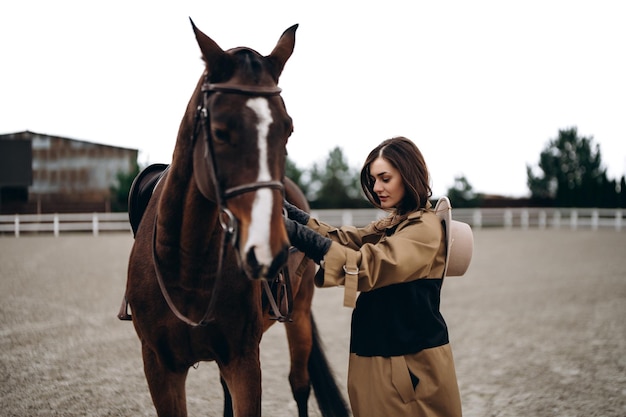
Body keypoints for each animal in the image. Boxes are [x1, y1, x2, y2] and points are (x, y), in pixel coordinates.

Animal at [120, 20, 346, 416]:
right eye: (221, 131)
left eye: (287, 129)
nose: (269, 250)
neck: (187, 263)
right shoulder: (160, 367)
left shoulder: (243, 361)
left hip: (299, 316)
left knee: (300, 384)